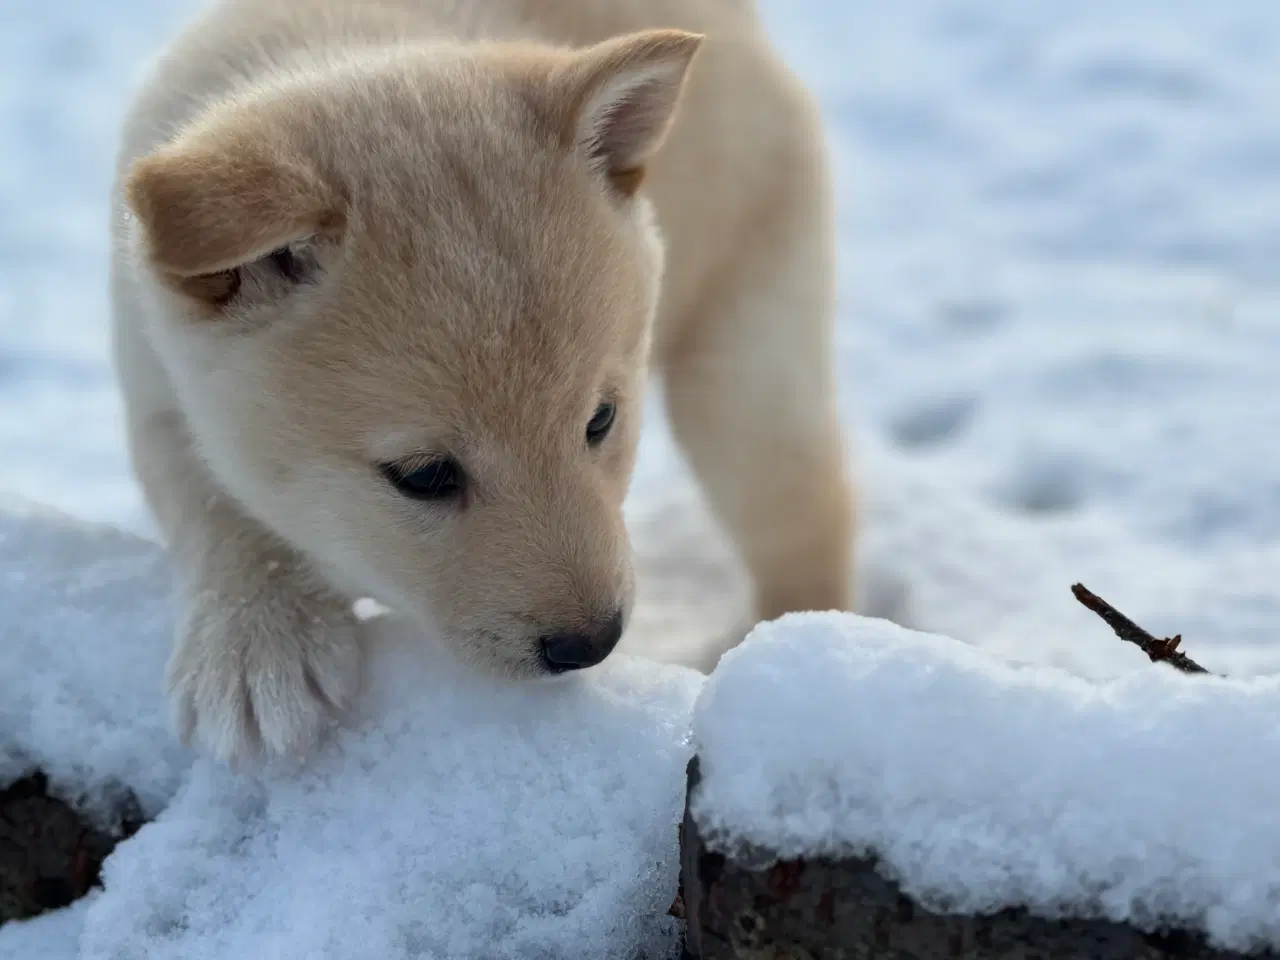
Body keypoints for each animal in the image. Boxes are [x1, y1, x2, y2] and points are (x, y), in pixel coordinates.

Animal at [110, 0, 849, 768]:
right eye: (424, 475)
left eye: (601, 420)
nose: (592, 644)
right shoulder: (154, 381)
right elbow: (217, 505)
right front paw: (259, 644)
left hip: (743, 367)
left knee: (808, 525)